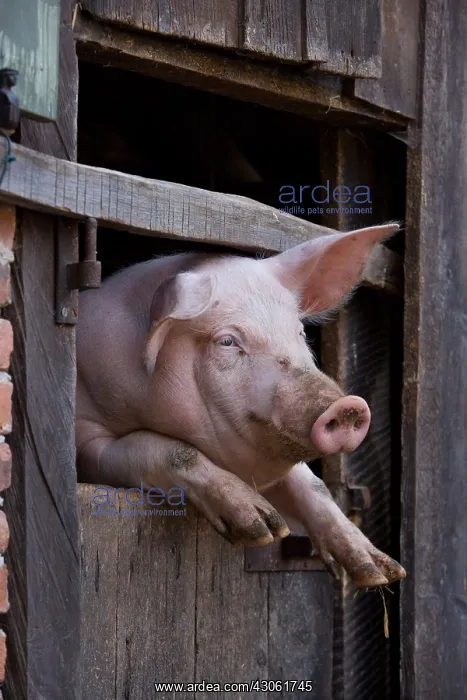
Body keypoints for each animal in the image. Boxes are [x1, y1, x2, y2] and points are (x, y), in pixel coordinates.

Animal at [76, 223, 406, 588]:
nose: (347, 406)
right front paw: (263, 529)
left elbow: (312, 484)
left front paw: (382, 574)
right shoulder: (84, 442)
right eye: (227, 341)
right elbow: (173, 450)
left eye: (300, 332)